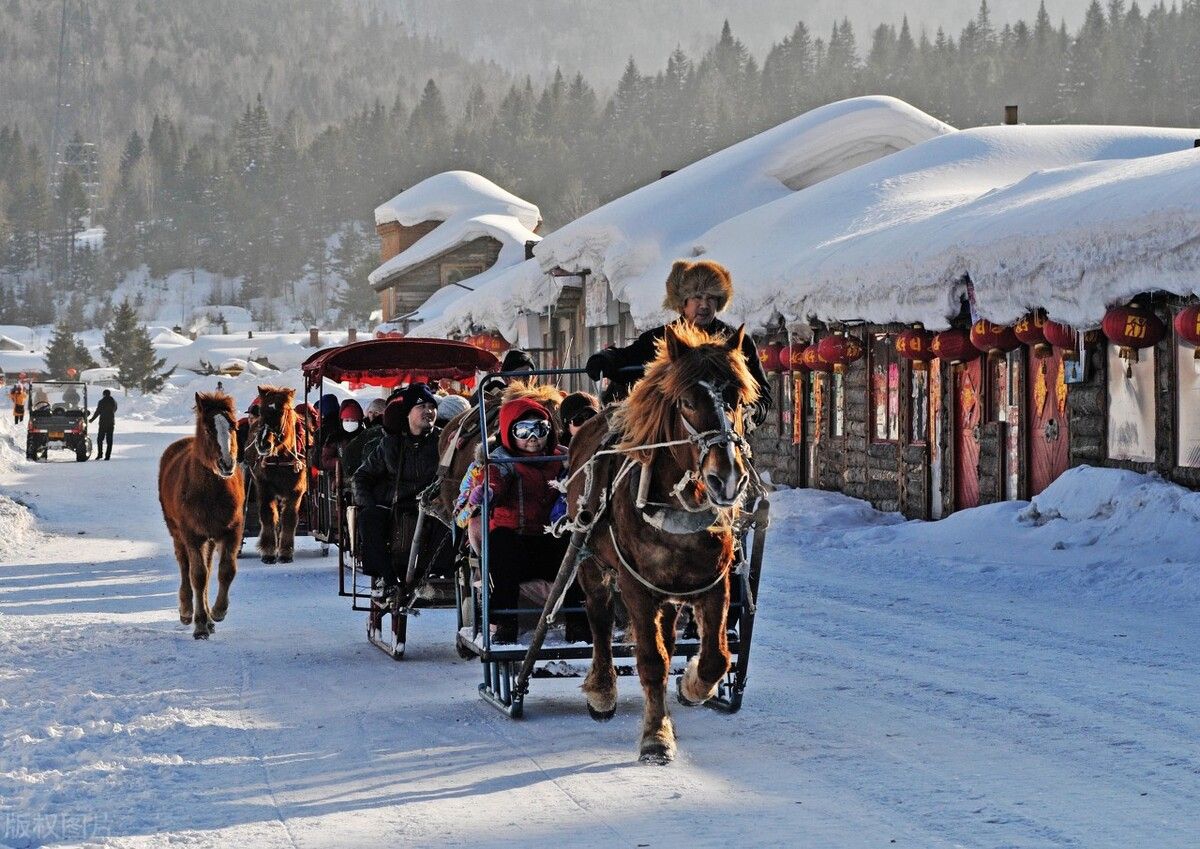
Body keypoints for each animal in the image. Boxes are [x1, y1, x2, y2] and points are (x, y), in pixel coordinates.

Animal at [159, 390, 243, 637]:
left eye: (233, 427)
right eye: (207, 429)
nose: (227, 463)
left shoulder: (232, 531)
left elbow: (225, 571)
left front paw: (217, 612)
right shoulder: (192, 534)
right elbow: (197, 575)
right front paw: (199, 624)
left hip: (211, 538)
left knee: (208, 567)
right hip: (177, 532)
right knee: (185, 566)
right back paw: (188, 611)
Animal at [242, 386, 307, 563]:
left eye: (282, 412)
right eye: (261, 411)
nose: (263, 443)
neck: (281, 459)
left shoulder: (296, 490)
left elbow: (289, 518)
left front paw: (285, 552)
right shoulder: (264, 487)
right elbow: (268, 516)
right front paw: (268, 551)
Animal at [566, 323, 753, 762]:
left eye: (737, 398)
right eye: (686, 401)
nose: (727, 478)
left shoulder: (713, 582)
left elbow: (716, 657)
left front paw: (693, 687)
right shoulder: (635, 586)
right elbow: (651, 661)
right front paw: (655, 736)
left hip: (668, 590)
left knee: (666, 632)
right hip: (591, 564)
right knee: (599, 618)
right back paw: (602, 690)